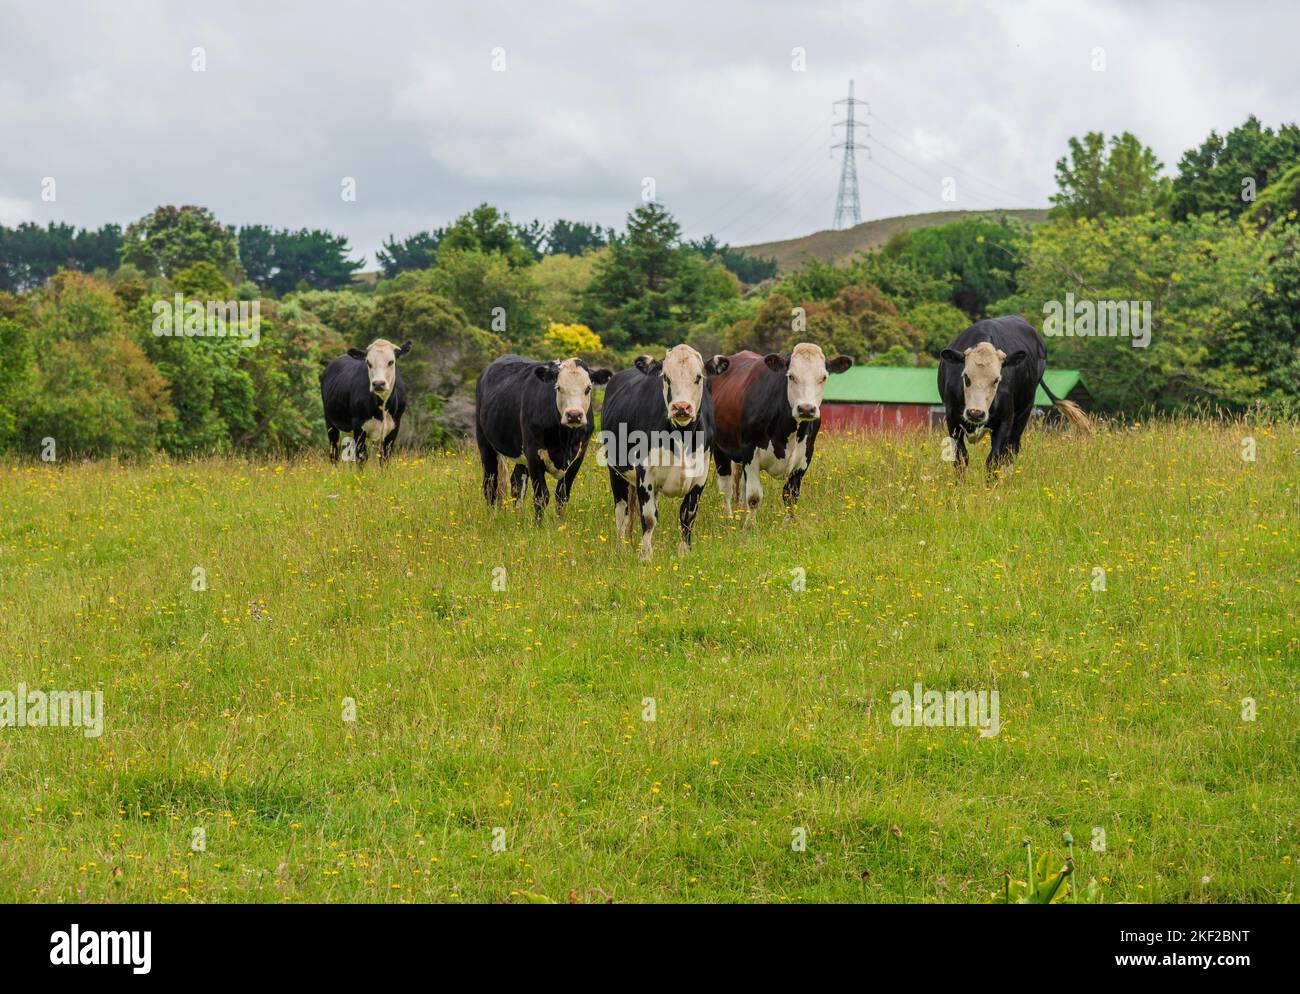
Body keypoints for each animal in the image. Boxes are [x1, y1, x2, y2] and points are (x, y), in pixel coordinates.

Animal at [474, 355, 613, 522]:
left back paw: (519, 519)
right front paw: (538, 526)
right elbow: (541, 496)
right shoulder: (534, 453)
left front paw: (560, 524)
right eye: (558, 387)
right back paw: (492, 519)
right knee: (490, 485)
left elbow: (562, 496)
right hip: (486, 444)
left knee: (516, 482)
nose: (574, 415)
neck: (565, 438)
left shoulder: (578, 456)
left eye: (588, 388)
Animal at [599, 345, 730, 561]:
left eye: (698, 377)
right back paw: (621, 549)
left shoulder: (699, 476)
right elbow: (649, 518)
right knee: (621, 511)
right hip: (615, 470)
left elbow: (687, 515)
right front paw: (645, 556)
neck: (682, 436)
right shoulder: (645, 474)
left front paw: (685, 552)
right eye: (666, 377)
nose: (681, 407)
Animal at [710, 343, 853, 523]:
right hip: (719, 448)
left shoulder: (805, 455)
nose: (806, 409)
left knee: (740, 485)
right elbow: (754, 496)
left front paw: (788, 524)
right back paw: (728, 518)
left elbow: (790, 495)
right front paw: (750, 526)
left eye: (823, 377)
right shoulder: (750, 451)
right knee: (726, 487)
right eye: (791, 376)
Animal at [938, 315, 1091, 472]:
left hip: (1024, 411)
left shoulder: (1005, 421)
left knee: (1012, 449)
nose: (975, 413)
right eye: (966, 377)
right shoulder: (952, 420)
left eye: (996, 380)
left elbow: (993, 459)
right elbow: (961, 458)